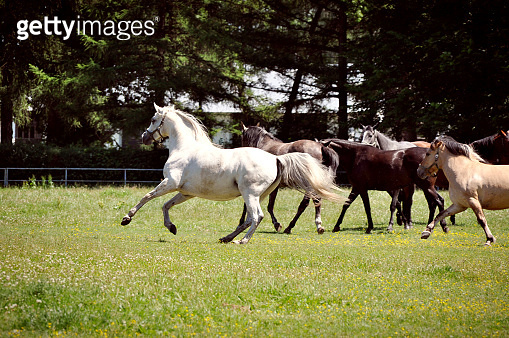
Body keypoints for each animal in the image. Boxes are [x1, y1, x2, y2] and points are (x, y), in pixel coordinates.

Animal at [120, 104, 342, 244]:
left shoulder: (170, 182)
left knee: (257, 216)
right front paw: (171, 227)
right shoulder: (186, 192)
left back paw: (242, 241)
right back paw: (227, 238)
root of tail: (276, 159)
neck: (184, 148)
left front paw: (127, 218)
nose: (144, 137)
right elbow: (166, 205)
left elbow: (147, 197)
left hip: (250, 193)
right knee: (249, 218)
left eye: (153, 119)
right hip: (257, 195)